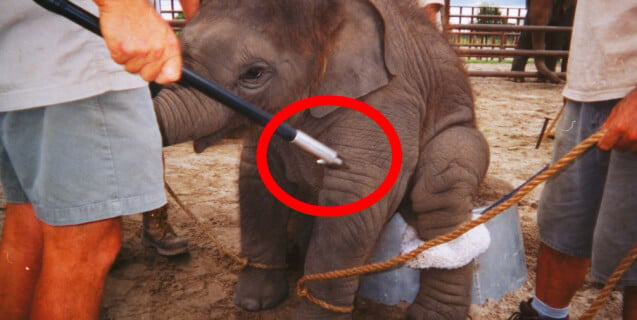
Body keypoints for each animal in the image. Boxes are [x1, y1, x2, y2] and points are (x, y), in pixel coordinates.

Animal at [152, 0, 490, 320]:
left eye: (254, 73)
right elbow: (256, 179)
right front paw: (253, 303)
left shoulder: (389, 98)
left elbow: (353, 194)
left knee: (442, 183)